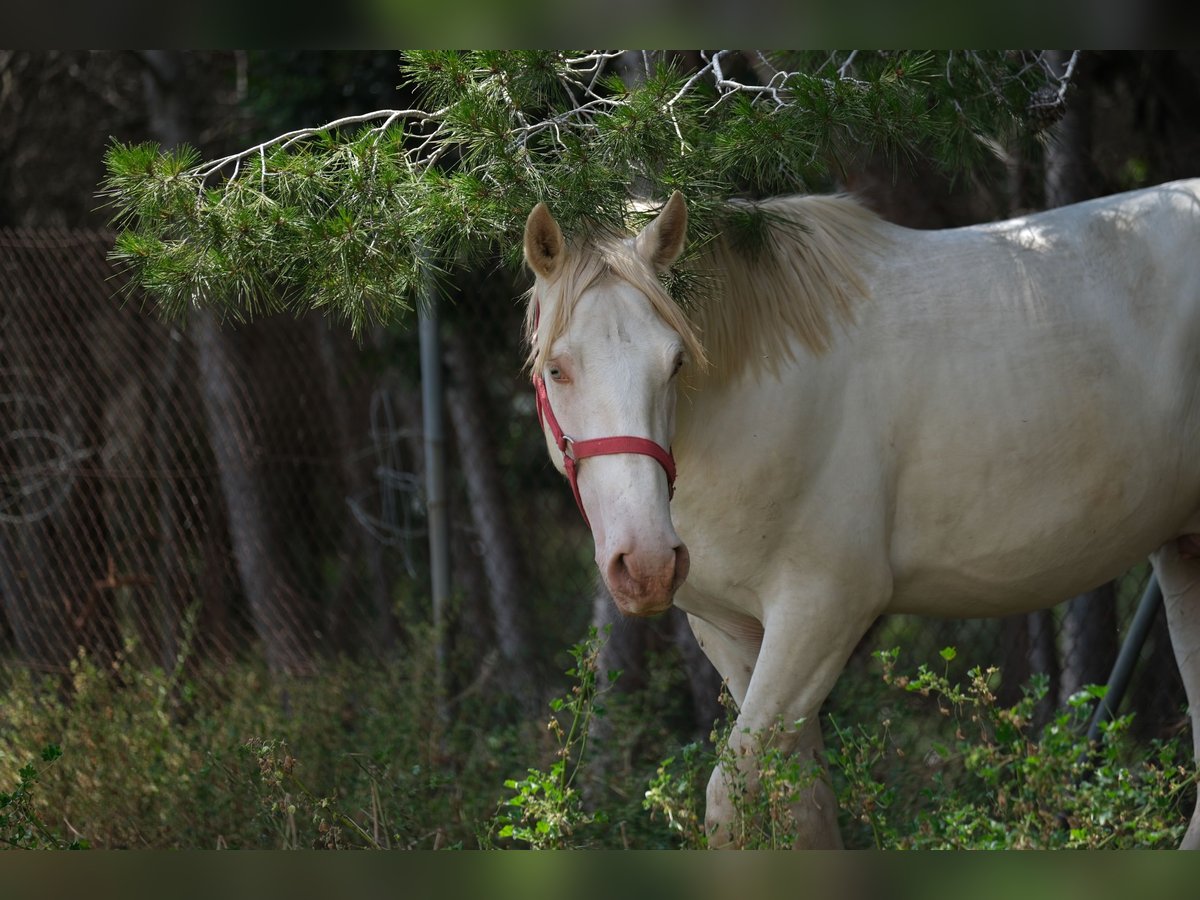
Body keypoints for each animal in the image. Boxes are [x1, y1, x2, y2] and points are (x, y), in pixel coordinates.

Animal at [520, 181, 1200, 844]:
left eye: (677, 362)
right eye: (557, 368)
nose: (647, 564)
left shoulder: (824, 612)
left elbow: (733, 803)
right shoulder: (735, 632)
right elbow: (805, 806)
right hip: (1183, 557)